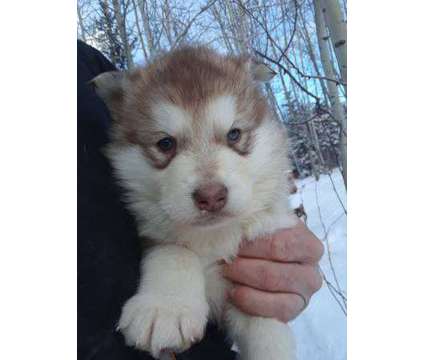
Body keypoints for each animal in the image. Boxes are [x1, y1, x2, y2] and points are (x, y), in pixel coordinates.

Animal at [93, 46, 298, 358]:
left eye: (234, 134)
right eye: (165, 144)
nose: (211, 197)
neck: (214, 238)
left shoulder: (253, 287)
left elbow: (267, 330)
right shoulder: (151, 231)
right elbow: (175, 249)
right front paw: (165, 307)